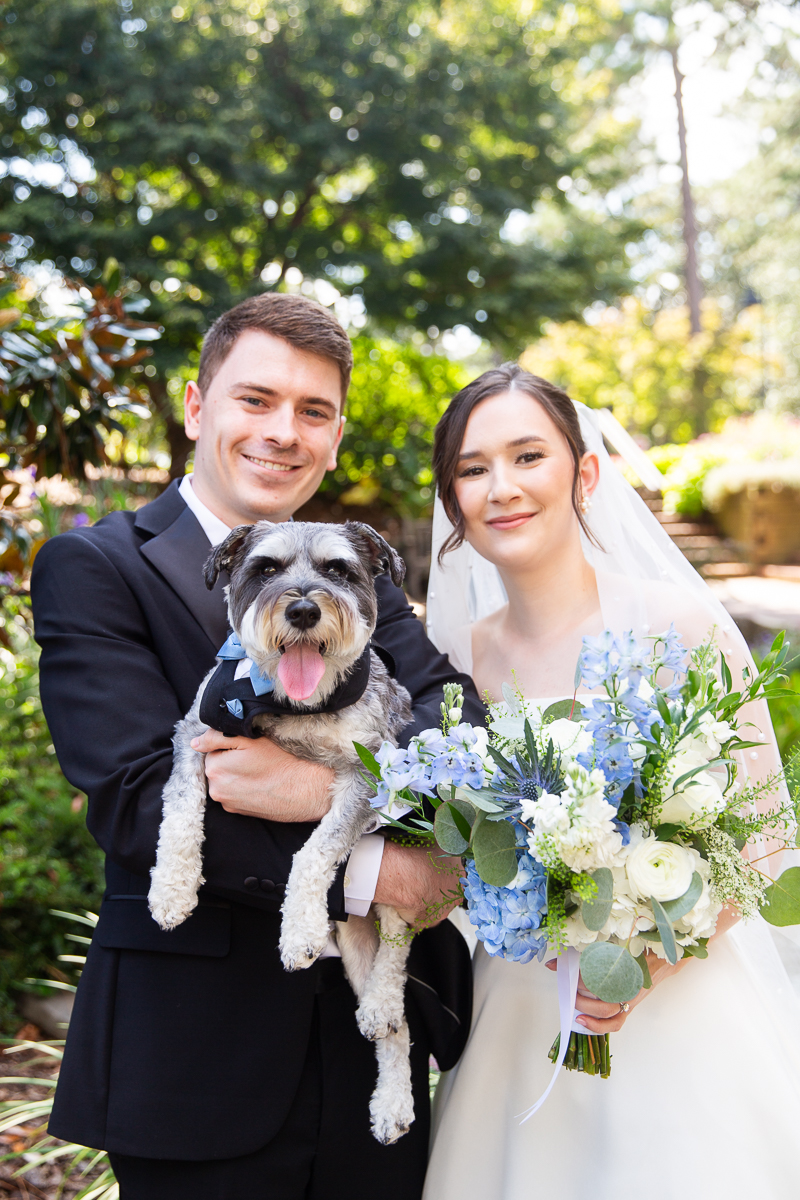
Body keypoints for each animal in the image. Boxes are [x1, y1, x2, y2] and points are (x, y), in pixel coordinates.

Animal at [146, 518, 419, 1142]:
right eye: (265, 568)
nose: (302, 610)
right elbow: (180, 812)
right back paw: (391, 1097)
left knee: (398, 950)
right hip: (354, 945)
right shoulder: (194, 735)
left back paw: (383, 1020)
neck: (293, 706)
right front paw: (171, 892)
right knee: (398, 1028)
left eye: (338, 569)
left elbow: (315, 851)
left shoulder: (365, 778)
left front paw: (298, 932)